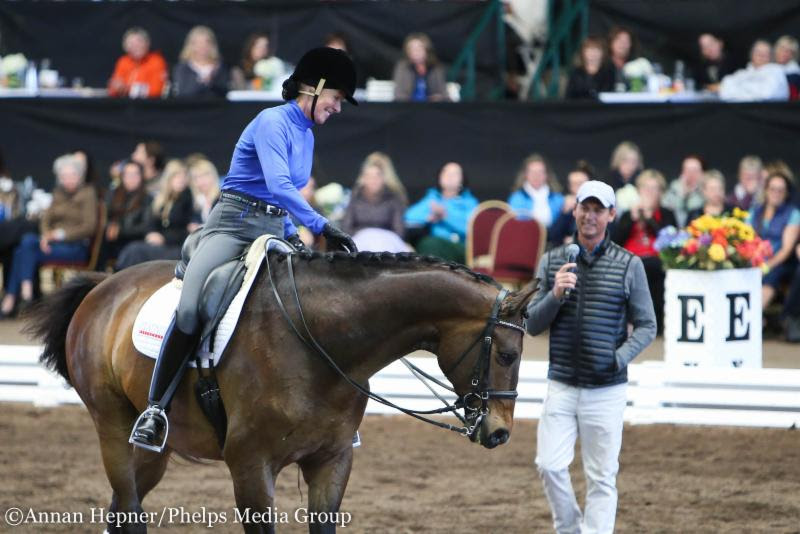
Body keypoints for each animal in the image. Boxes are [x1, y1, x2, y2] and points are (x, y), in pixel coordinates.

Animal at [25, 252, 536, 534]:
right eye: (508, 355)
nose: (499, 433)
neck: (318, 344)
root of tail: (105, 284)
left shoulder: (332, 461)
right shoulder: (251, 467)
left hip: (154, 450)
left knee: (121, 510)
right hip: (111, 426)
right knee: (128, 507)